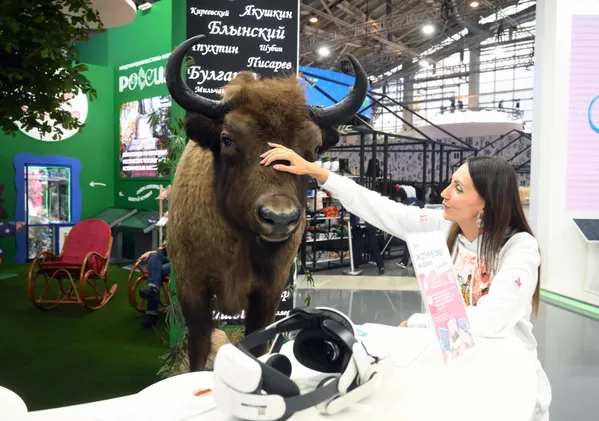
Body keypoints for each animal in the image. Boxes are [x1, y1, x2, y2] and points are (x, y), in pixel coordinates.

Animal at [165, 36, 370, 370]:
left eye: (314, 148)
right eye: (227, 139)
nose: (280, 218)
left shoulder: (268, 293)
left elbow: (257, 341)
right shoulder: (192, 290)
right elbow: (198, 345)